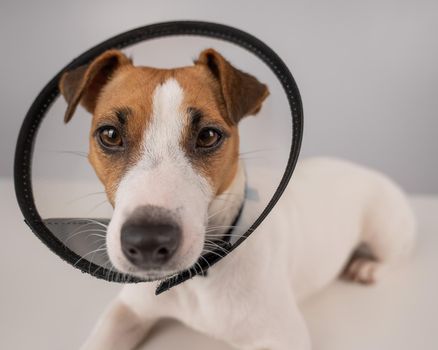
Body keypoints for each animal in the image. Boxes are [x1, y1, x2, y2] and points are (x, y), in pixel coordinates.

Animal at [60, 49, 416, 350]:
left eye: (208, 136)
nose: (147, 242)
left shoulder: (282, 337)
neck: (195, 278)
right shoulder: (127, 310)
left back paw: (368, 266)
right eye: (109, 134)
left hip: (383, 229)